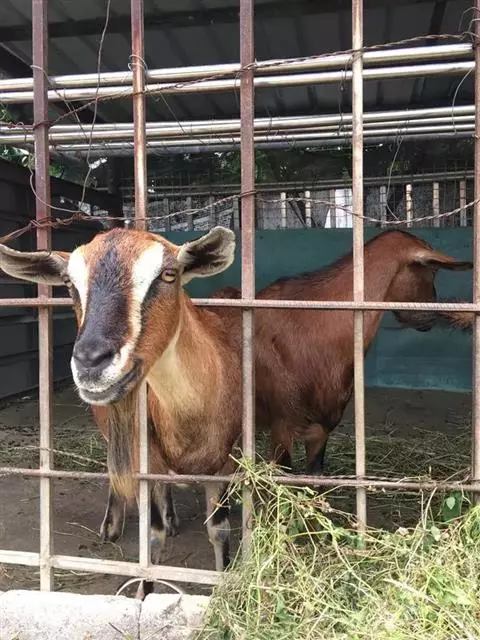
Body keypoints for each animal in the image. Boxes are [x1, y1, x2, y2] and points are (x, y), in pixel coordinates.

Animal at [0, 227, 242, 585]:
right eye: (69, 283)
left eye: (169, 274)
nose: (90, 360)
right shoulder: (147, 459)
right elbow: (152, 536)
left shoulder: (225, 462)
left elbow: (219, 531)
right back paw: (113, 527)